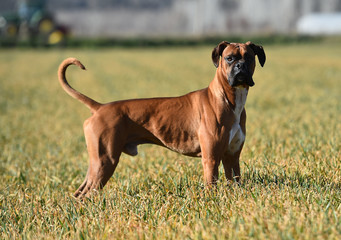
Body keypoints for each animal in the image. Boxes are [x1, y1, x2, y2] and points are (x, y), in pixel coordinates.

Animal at [57, 41, 266, 199]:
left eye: (249, 57)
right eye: (229, 58)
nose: (240, 66)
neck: (227, 99)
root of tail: (100, 107)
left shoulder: (232, 157)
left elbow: (235, 181)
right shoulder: (211, 158)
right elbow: (211, 185)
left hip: (98, 162)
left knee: (80, 192)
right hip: (105, 160)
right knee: (85, 193)